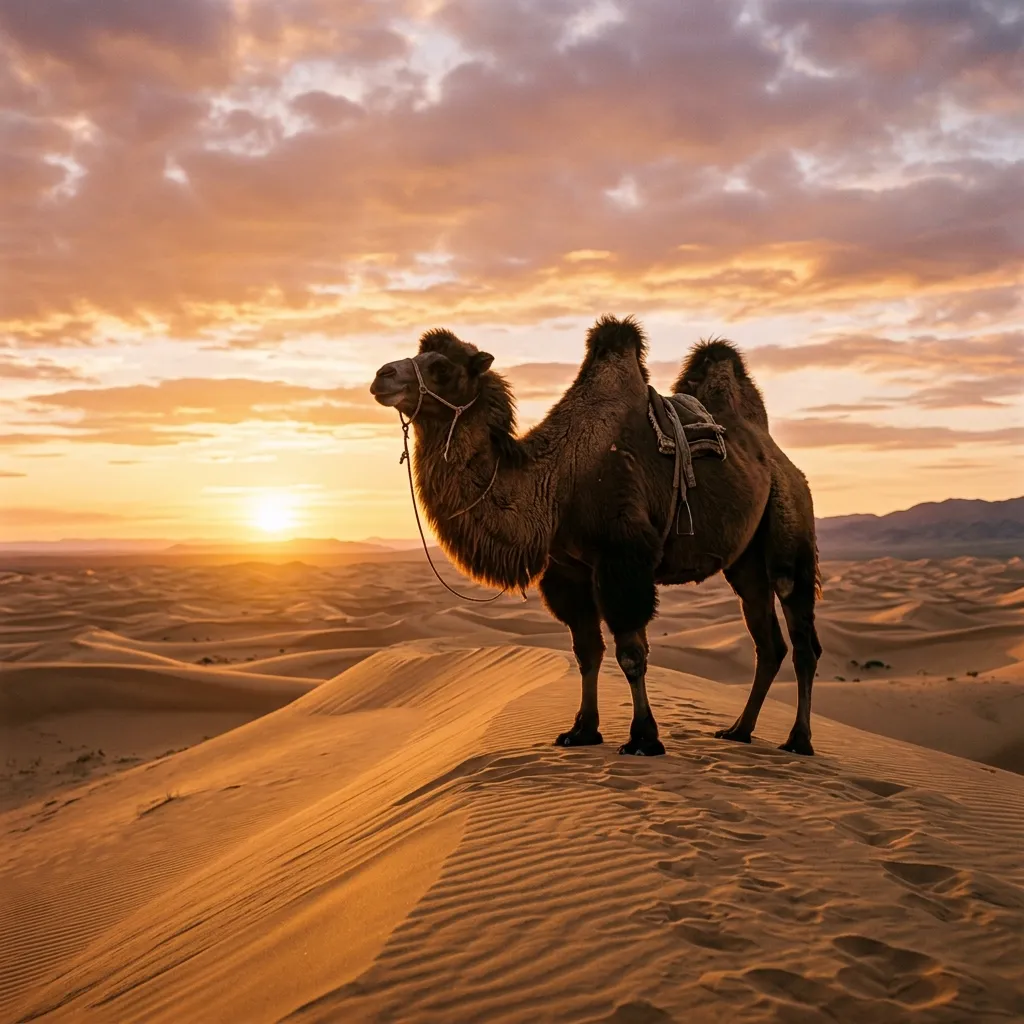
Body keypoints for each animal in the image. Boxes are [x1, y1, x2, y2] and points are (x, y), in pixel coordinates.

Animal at [370, 316, 821, 756]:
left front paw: (643, 739)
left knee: (800, 632)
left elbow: (631, 653)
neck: (556, 481)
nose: (381, 375)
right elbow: (587, 652)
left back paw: (798, 739)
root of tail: (777, 456)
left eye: (441, 367)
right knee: (768, 641)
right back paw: (739, 730)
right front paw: (582, 731)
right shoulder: (568, 570)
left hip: (790, 520)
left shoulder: (622, 558)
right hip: (745, 561)